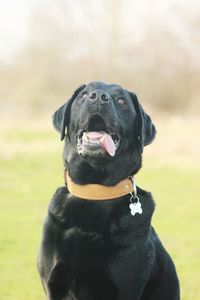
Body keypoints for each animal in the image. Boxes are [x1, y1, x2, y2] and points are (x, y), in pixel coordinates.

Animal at [37, 81, 180, 298]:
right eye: (84, 95)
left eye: (121, 101)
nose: (98, 97)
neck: (95, 191)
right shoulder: (54, 284)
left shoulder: (123, 286)